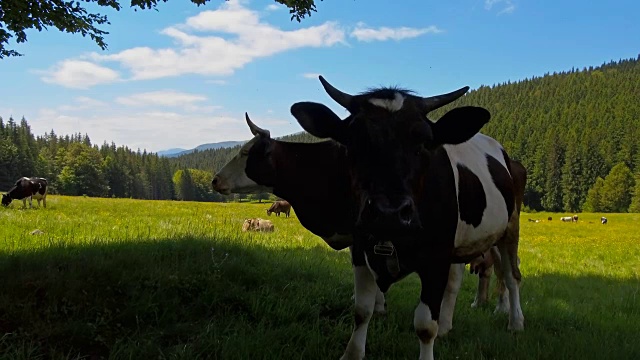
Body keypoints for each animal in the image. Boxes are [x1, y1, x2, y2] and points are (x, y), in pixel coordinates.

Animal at [292, 76, 524, 360]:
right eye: (354, 139)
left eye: (425, 142)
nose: (388, 212)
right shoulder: (360, 247)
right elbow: (362, 310)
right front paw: (352, 354)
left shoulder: (436, 256)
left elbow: (424, 325)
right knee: (459, 281)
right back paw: (448, 325)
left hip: (510, 227)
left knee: (511, 274)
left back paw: (515, 321)